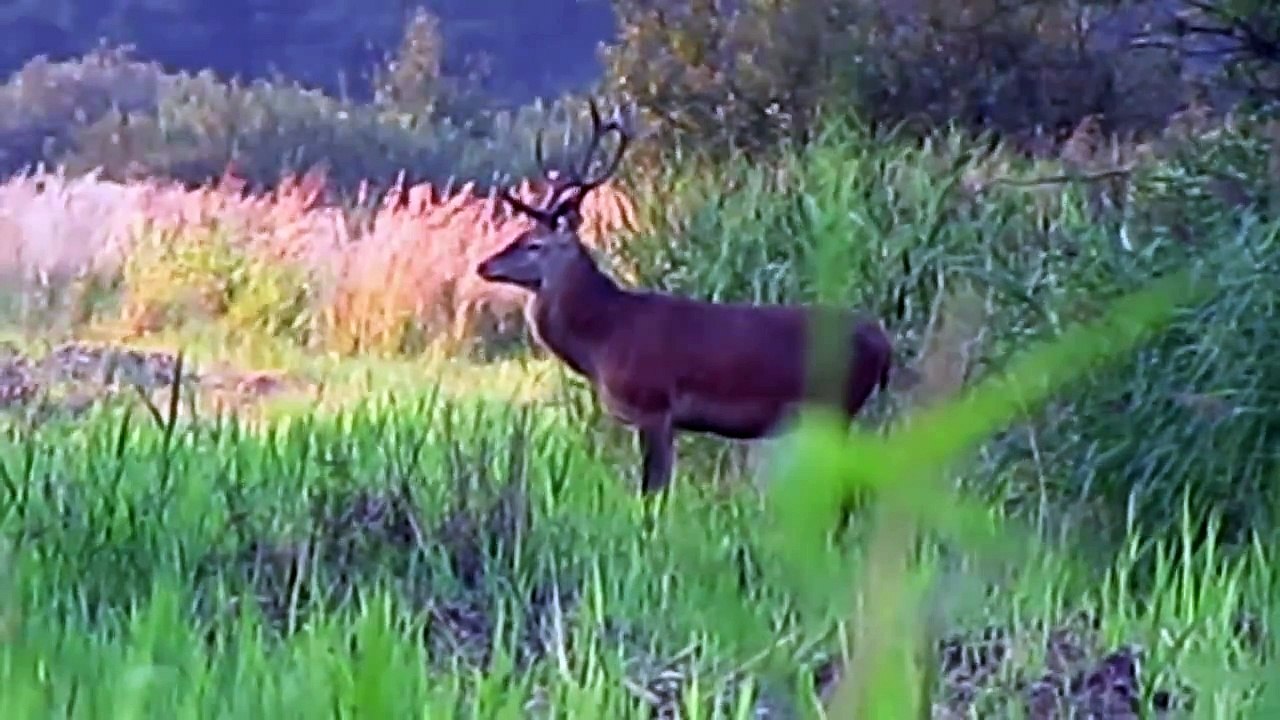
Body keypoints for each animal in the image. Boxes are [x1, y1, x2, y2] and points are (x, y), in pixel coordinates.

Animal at [476, 100, 895, 494]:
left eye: (534, 243)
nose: (483, 265)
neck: (605, 338)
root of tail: (882, 341)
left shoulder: (653, 404)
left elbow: (653, 492)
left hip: (835, 405)